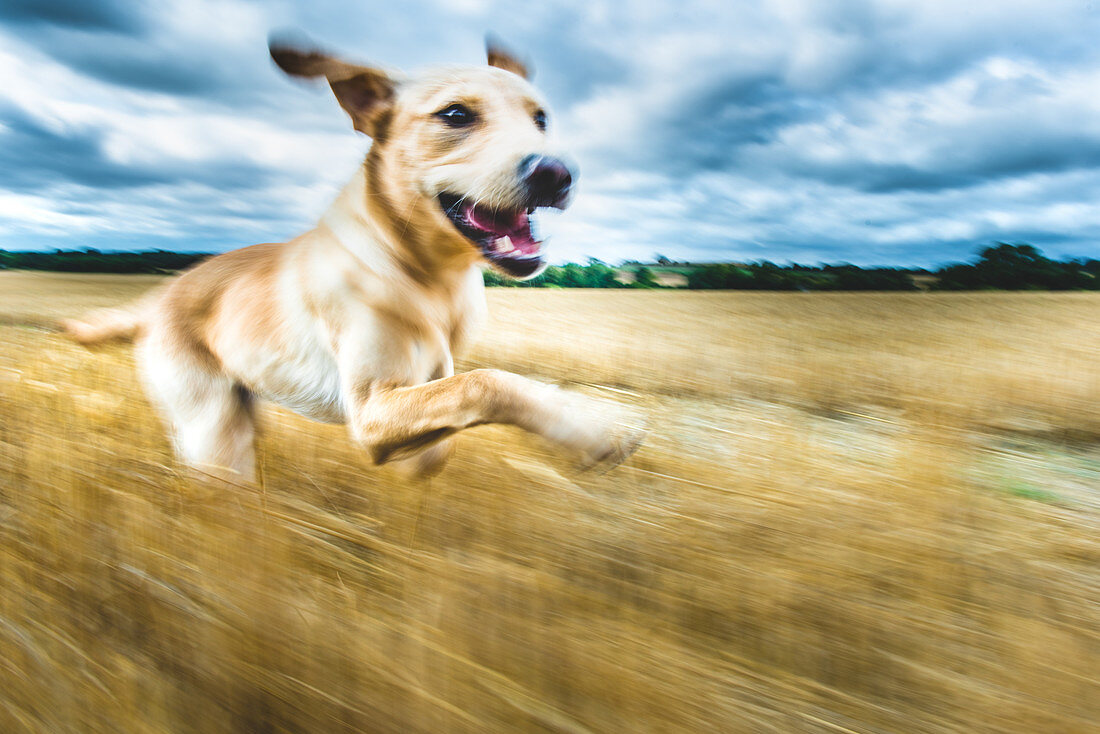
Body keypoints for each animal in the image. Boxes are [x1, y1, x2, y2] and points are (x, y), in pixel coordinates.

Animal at [62, 38, 642, 481]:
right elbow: (489, 381)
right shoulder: (369, 412)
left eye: (541, 119)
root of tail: (160, 296)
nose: (558, 173)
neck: (433, 279)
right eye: (456, 114)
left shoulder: (421, 393)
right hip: (214, 433)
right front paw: (596, 426)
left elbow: (447, 424)